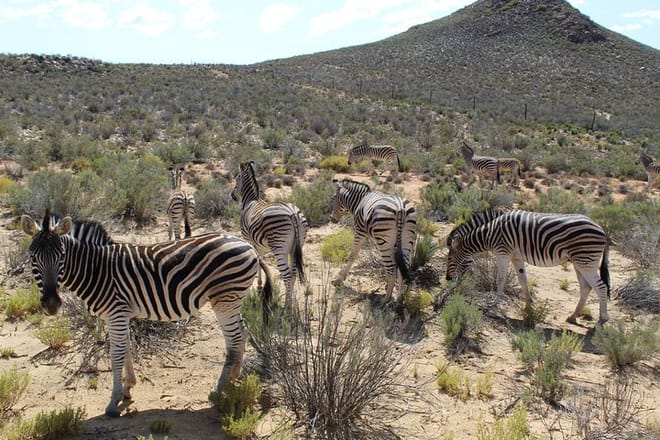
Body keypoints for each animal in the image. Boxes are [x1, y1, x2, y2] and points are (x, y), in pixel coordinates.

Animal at [21, 210, 272, 417]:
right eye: (33, 257)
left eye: (61, 256)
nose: (51, 304)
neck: (96, 270)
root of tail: (248, 246)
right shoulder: (118, 315)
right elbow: (126, 347)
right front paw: (128, 388)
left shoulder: (116, 312)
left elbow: (116, 354)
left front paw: (113, 402)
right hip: (232, 300)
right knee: (242, 332)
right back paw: (234, 377)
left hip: (224, 299)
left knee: (234, 339)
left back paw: (219, 389)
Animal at [231, 161, 308, 311]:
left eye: (237, 179)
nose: (232, 195)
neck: (251, 201)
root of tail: (292, 213)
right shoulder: (258, 244)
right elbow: (260, 261)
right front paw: (260, 286)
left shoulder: (248, 239)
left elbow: (258, 262)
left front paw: (259, 286)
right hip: (296, 247)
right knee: (294, 273)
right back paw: (292, 303)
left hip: (279, 248)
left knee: (287, 275)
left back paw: (287, 308)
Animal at [445, 209, 610, 324]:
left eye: (449, 258)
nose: (447, 279)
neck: (489, 233)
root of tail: (602, 230)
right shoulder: (516, 257)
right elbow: (522, 280)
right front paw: (528, 307)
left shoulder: (503, 252)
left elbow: (500, 279)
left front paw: (494, 305)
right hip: (579, 263)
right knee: (586, 288)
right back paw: (573, 316)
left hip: (586, 261)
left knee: (601, 287)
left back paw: (602, 319)